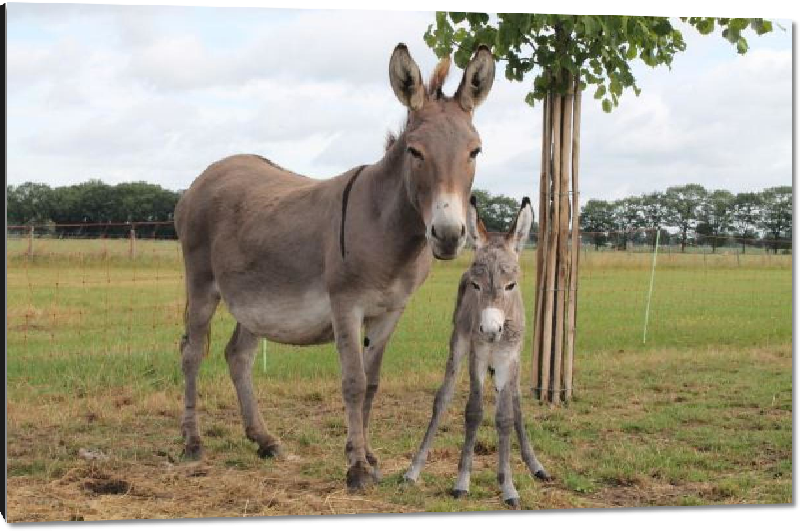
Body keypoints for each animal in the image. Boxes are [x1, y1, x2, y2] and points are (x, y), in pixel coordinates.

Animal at [404, 195, 552, 508]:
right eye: (476, 284)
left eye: (511, 285)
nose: (490, 329)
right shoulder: (478, 355)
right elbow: (473, 412)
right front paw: (462, 482)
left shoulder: (508, 358)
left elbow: (506, 417)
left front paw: (508, 486)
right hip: (458, 344)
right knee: (442, 399)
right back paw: (413, 470)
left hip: (515, 362)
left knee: (517, 404)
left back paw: (535, 465)